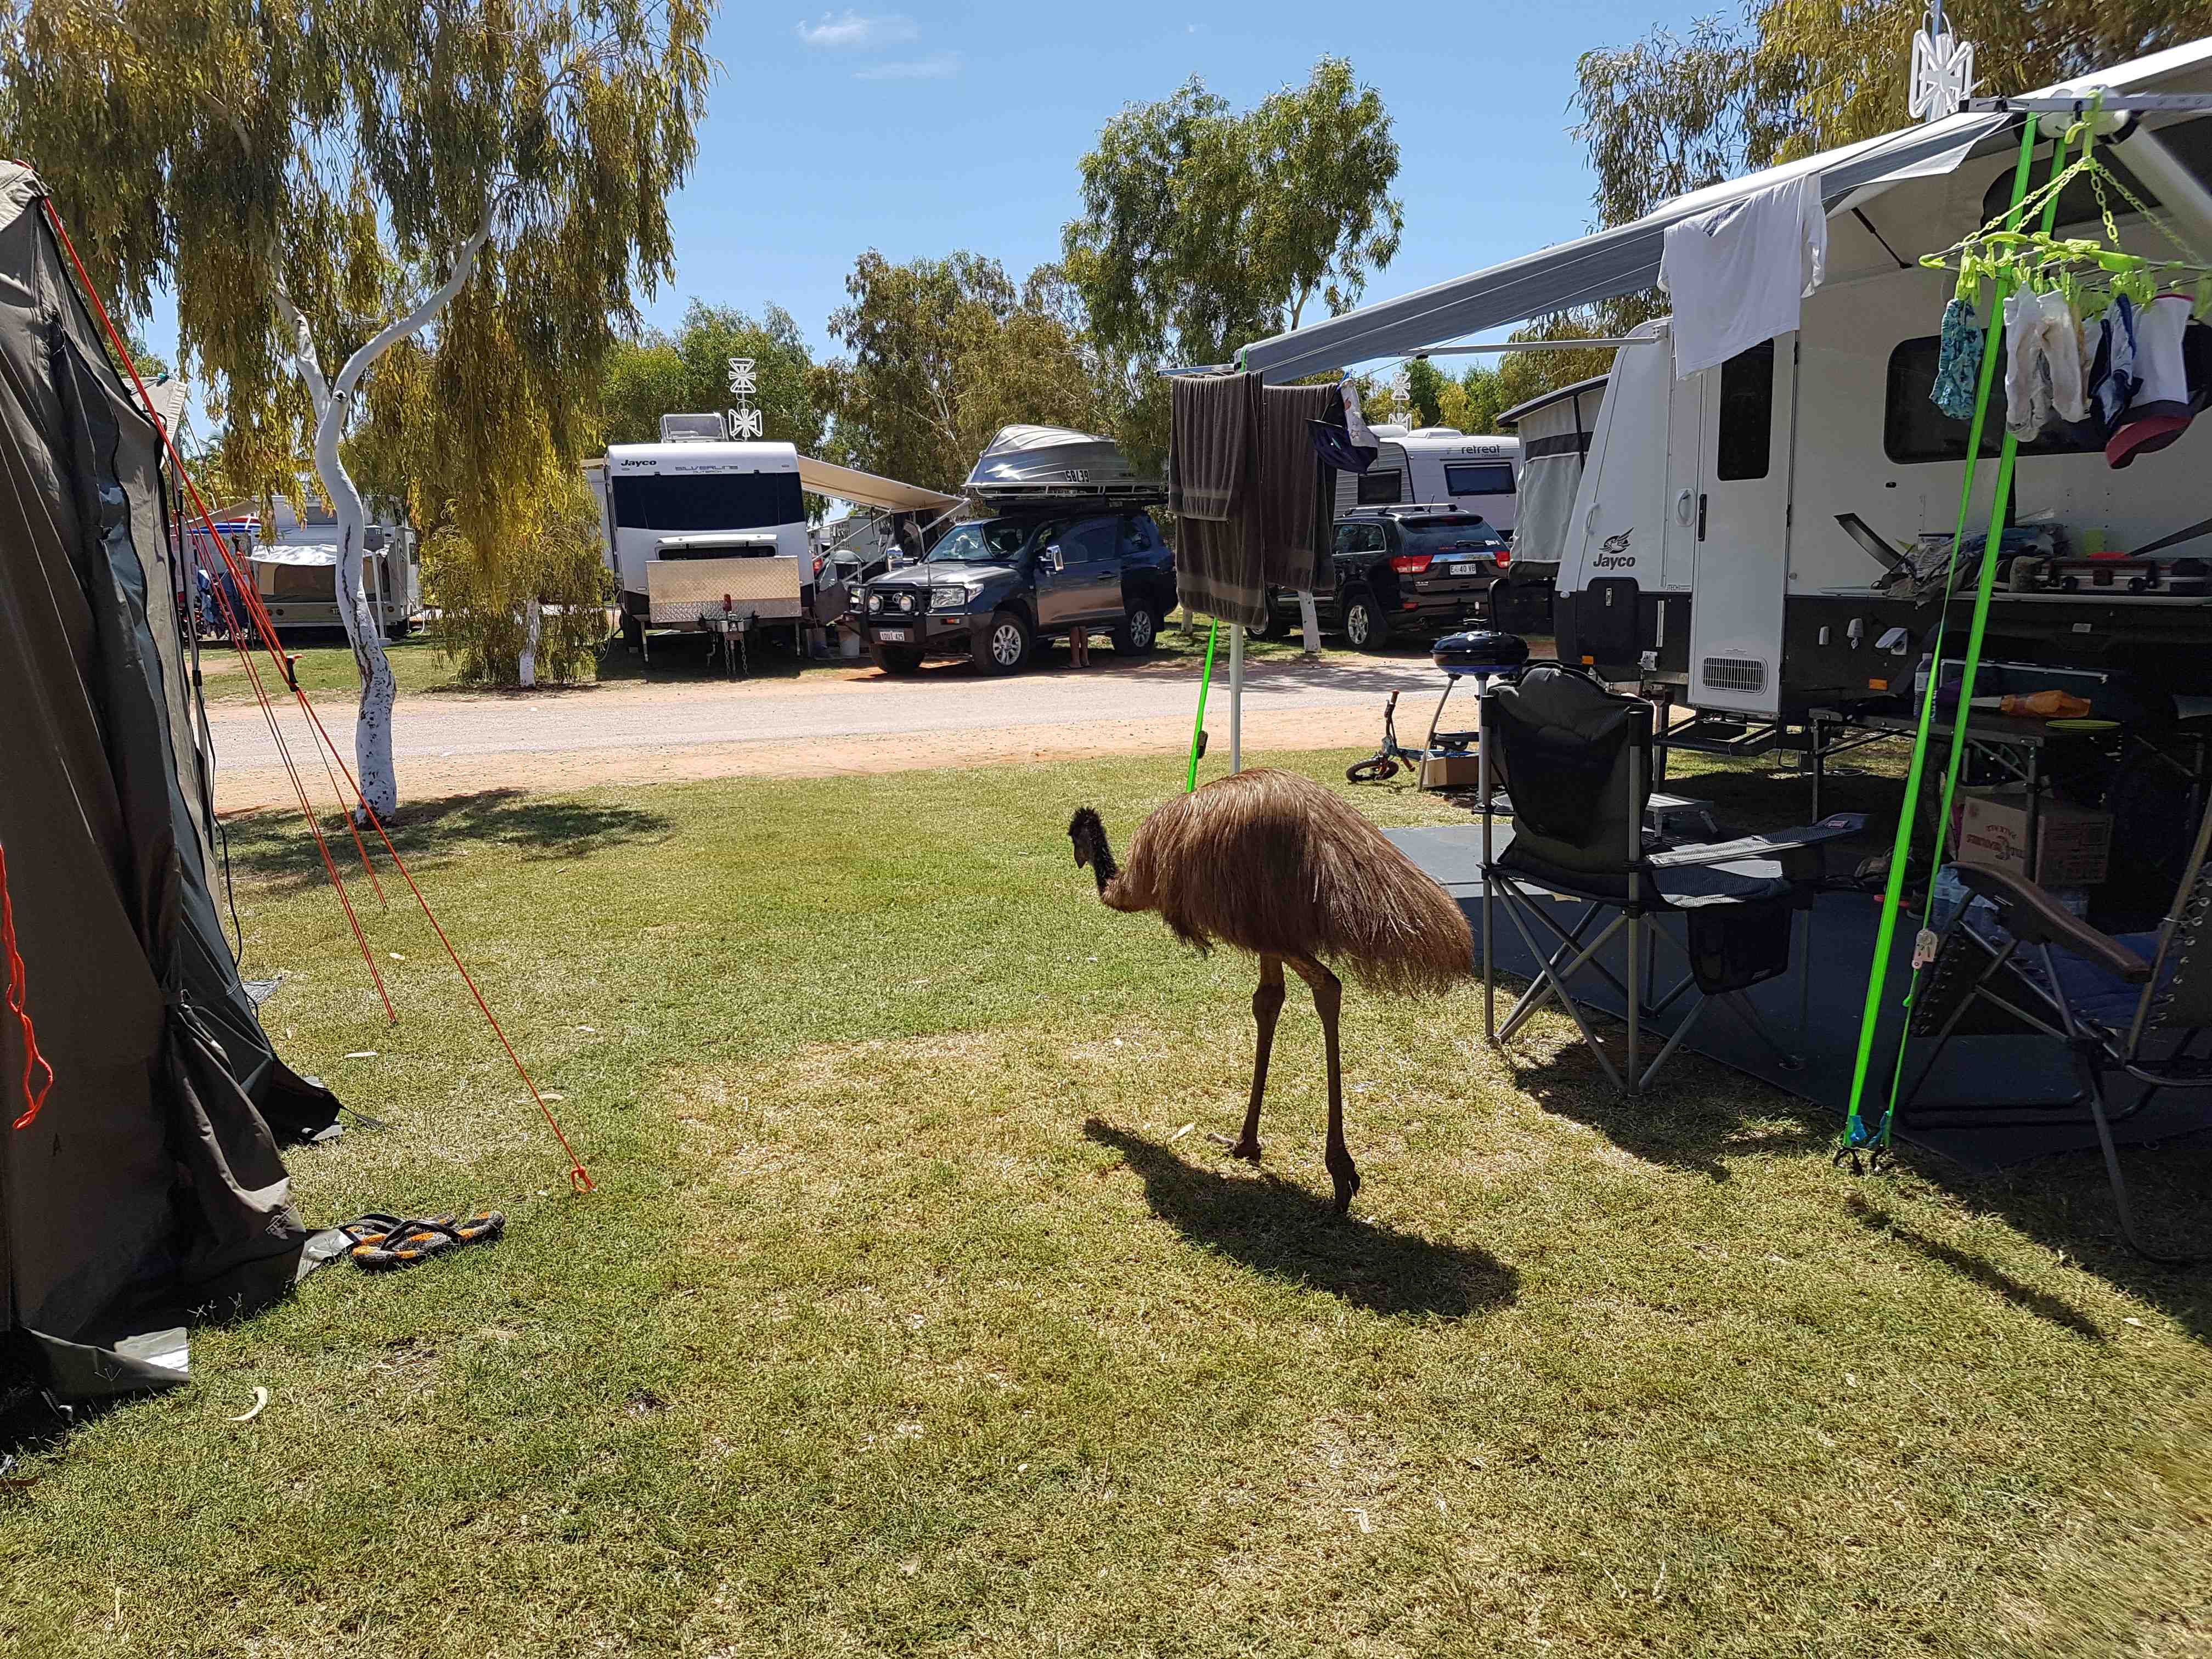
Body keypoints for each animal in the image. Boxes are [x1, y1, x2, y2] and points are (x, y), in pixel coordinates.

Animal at [1069, 768, 1472, 1214]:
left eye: (1074, 838)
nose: (1078, 858)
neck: (1134, 882)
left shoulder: (1255, 930)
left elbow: (1277, 998)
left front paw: (1247, 1145)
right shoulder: (1265, 938)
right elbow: (1268, 1000)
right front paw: (1245, 1144)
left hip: (1268, 922)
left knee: (1329, 986)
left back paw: (1340, 1171)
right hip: (1274, 924)